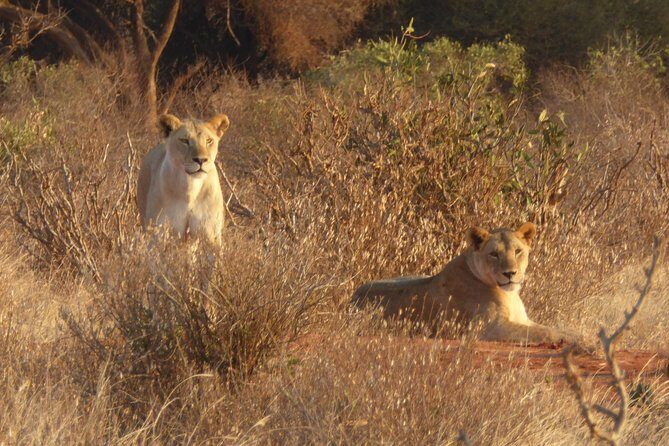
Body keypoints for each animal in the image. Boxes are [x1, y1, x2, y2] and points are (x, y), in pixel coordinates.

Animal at [137, 113, 229, 245]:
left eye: (209, 140)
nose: (201, 160)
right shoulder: (158, 232)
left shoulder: (210, 233)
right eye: (185, 141)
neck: (190, 187)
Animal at [352, 222, 582, 344]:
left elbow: (554, 327)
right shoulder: (490, 328)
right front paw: (576, 343)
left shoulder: (524, 320)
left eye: (518, 251)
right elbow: (545, 332)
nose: (510, 273)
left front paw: (581, 336)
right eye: (494, 254)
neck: (509, 294)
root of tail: (352, 299)